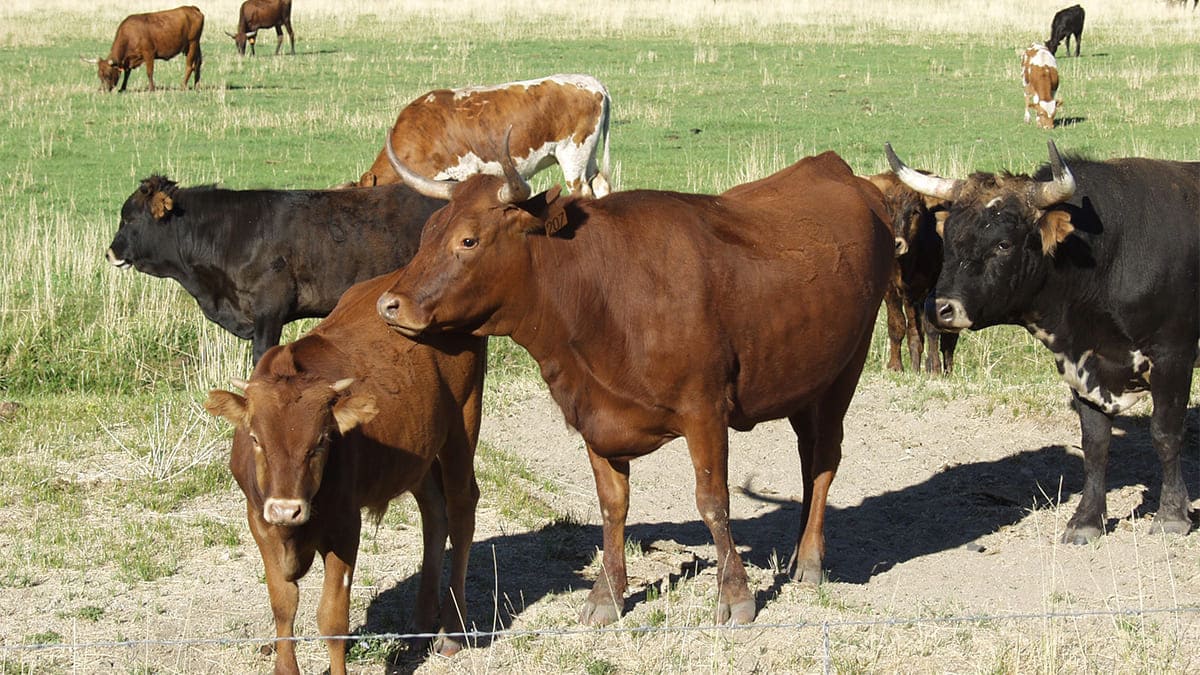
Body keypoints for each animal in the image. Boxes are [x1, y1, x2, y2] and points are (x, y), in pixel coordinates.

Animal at [206, 270, 487, 667]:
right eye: (256, 438)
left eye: (322, 440)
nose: (287, 510)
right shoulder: (258, 520)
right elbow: (283, 605)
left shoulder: (345, 527)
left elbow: (332, 619)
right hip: (418, 450)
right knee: (434, 513)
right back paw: (420, 625)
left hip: (463, 421)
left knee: (462, 509)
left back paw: (452, 629)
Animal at [350, 75, 609, 198]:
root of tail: (592, 82)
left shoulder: (459, 173)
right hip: (589, 156)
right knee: (601, 186)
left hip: (573, 156)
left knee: (582, 192)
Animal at [868, 170, 960, 372]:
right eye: (885, 209)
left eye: (915, 212)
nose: (896, 244)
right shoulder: (892, 291)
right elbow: (898, 326)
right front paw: (896, 366)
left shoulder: (932, 291)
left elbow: (933, 329)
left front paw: (934, 368)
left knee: (949, 338)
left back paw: (946, 369)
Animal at [888, 140, 1200, 540]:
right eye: (950, 238)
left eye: (1003, 244)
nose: (938, 307)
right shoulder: (1081, 363)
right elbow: (1094, 443)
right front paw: (1087, 520)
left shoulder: (1172, 356)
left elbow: (1165, 434)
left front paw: (1172, 514)